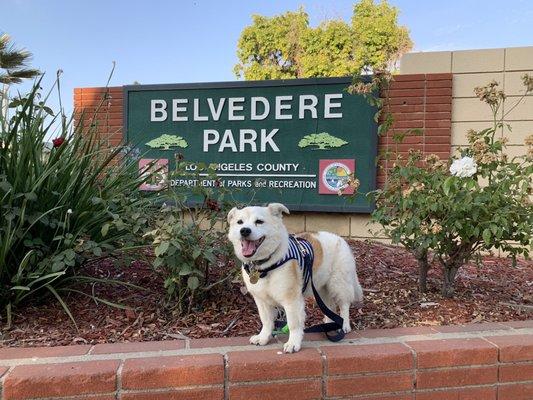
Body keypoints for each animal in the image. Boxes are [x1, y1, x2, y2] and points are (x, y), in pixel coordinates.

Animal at [227, 203, 364, 354]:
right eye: (239, 222)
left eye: (259, 221)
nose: (244, 230)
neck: (266, 265)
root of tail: (340, 239)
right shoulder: (261, 301)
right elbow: (266, 321)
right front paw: (263, 337)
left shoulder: (292, 301)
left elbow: (293, 324)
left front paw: (293, 343)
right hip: (321, 289)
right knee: (330, 307)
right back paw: (329, 324)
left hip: (339, 285)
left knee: (344, 305)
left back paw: (344, 325)